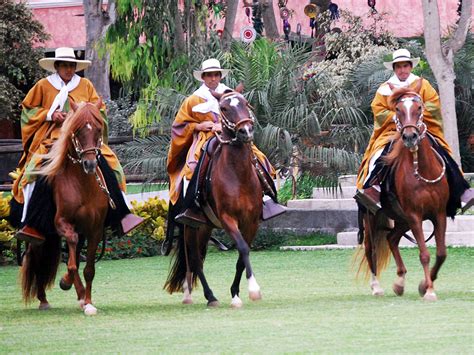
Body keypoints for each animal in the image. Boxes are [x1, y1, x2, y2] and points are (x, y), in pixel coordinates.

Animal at [21, 99, 109, 314]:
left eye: (98, 129)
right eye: (77, 130)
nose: (89, 164)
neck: (83, 185)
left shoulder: (95, 229)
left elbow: (88, 268)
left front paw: (88, 301)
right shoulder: (61, 223)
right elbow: (71, 262)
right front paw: (71, 286)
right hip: (40, 235)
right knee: (37, 258)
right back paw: (43, 299)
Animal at [165, 89, 262, 308]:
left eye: (245, 103)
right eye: (224, 108)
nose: (246, 131)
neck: (238, 176)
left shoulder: (251, 221)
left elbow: (242, 257)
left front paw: (236, 293)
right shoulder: (227, 219)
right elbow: (243, 248)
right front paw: (253, 290)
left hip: (205, 227)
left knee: (198, 258)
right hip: (190, 227)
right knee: (194, 259)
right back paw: (208, 296)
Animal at [358, 79, 450, 302]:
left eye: (419, 108)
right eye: (398, 110)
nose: (409, 136)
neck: (421, 169)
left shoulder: (438, 213)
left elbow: (441, 253)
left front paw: (425, 285)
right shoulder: (415, 215)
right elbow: (424, 254)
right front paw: (430, 291)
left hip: (402, 219)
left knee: (391, 238)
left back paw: (399, 282)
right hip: (372, 216)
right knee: (371, 248)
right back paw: (376, 287)